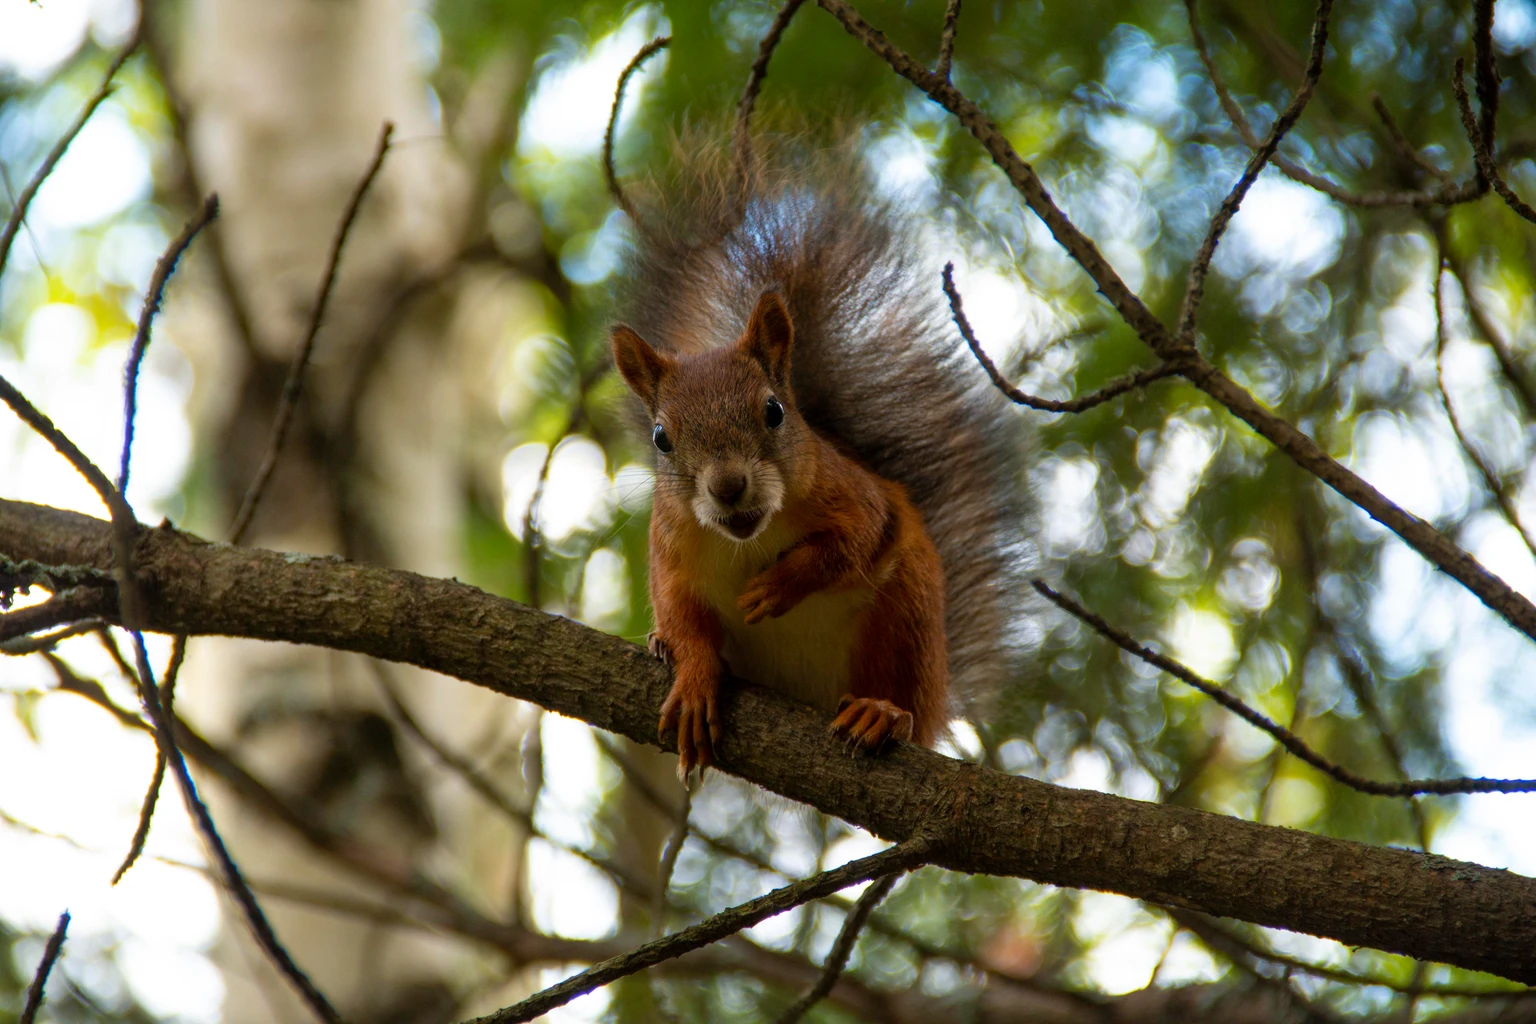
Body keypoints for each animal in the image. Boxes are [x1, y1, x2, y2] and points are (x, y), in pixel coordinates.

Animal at [609, 139, 1029, 777]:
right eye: (661, 438)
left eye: (773, 411)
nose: (728, 486)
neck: (748, 540)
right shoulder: (671, 550)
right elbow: (682, 615)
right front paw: (695, 677)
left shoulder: (851, 495)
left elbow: (850, 543)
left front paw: (780, 584)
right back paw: (664, 648)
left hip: (905, 616)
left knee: (904, 700)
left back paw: (883, 714)